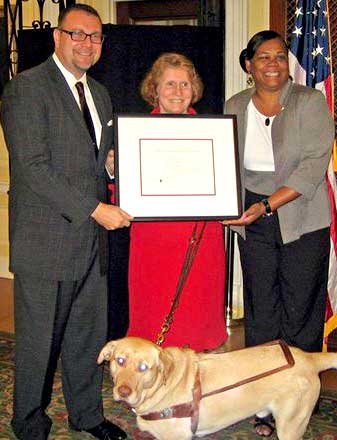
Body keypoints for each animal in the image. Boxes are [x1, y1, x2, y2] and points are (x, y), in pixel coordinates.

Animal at [97, 336, 336, 438]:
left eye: (144, 367)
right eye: (120, 361)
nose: (123, 392)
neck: (162, 386)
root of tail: (309, 358)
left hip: (291, 426)